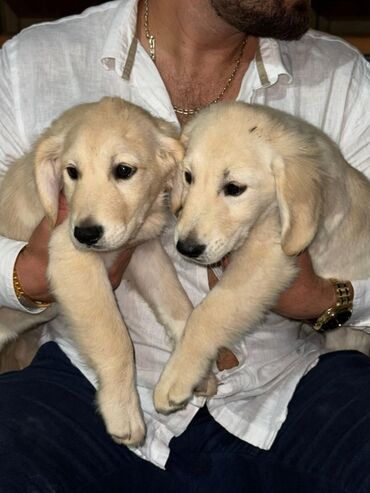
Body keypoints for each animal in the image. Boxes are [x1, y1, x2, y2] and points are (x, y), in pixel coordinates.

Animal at [0, 96, 197, 446]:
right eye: (71, 172)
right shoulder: (70, 257)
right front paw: (123, 412)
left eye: (123, 170)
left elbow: (176, 304)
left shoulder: (143, 250)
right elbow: (115, 340)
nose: (86, 234)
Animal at [155, 102, 370, 414]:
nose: (187, 248)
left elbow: (208, 313)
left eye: (234, 188)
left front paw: (177, 375)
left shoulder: (268, 257)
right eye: (188, 176)